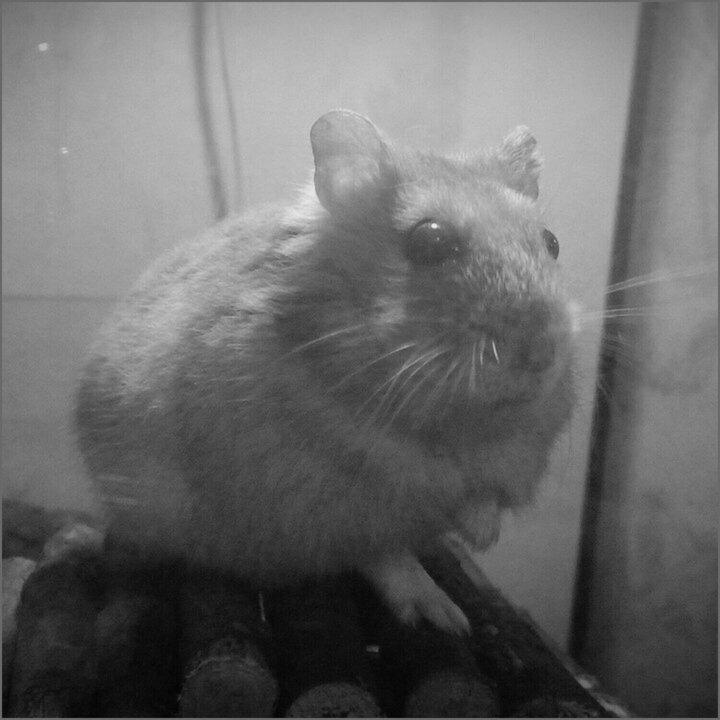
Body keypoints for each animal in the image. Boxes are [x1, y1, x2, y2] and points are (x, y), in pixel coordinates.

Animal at [74, 110, 576, 634]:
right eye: (430, 240)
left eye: (552, 243)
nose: (543, 353)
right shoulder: (325, 508)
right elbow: (383, 555)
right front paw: (445, 613)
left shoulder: (507, 460)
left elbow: (483, 498)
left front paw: (480, 537)